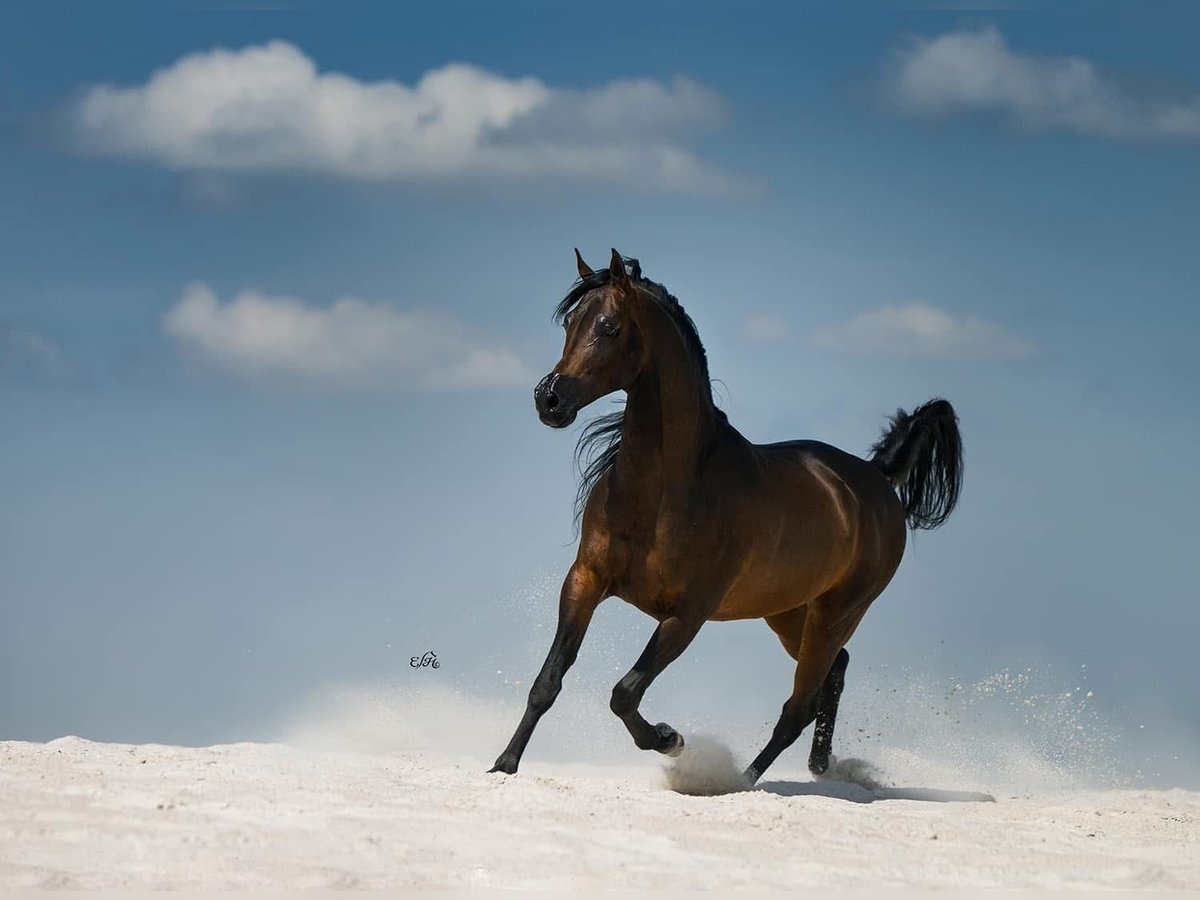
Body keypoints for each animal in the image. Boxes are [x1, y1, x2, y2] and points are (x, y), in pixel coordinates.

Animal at [482, 250, 960, 787]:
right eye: (569, 323)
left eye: (609, 327)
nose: (549, 399)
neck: (666, 492)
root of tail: (876, 478)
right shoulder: (585, 580)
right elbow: (548, 681)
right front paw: (504, 764)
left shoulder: (687, 615)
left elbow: (625, 692)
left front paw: (670, 739)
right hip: (789, 613)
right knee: (834, 673)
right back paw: (818, 766)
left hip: (836, 614)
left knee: (799, 706)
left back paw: (739, 780)